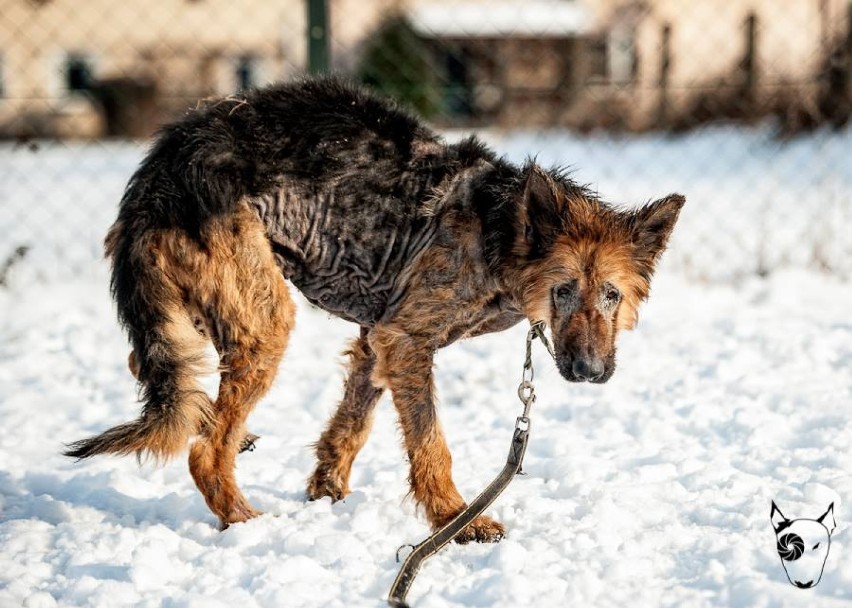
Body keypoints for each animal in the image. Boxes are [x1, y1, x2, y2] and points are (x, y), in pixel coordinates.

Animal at [63, 77, 684, 540]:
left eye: (612, 295)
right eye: (563, 291)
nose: (589, 373)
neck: (501, 229)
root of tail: (159, 172)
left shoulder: (374, 340)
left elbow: (350, 426)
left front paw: (327, 492)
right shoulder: (406, 342)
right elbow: (431, 444)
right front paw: (456, 522)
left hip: (191, 309)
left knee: (166, 381)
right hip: (267, 321)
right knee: (203, 450)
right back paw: (243, 517)